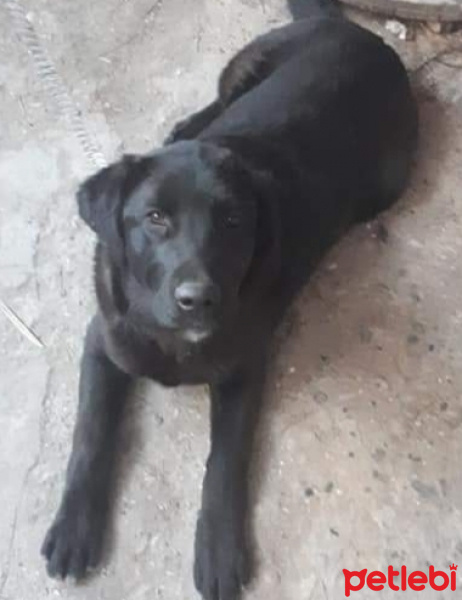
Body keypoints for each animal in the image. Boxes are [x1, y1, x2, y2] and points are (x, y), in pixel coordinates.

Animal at [42, 2, 418, 596]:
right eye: (155, 219)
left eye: (234, 221)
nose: (199, 299)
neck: (171, 338)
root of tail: (355, 30)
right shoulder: (103, 343)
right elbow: (91, 434)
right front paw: (75, 525)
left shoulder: (244, 369)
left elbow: (224, 462)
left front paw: (219, 549)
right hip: (244, 66)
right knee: (216, 103)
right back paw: (182, 130)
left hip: (384, 187)